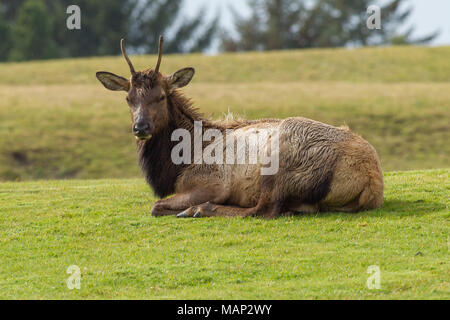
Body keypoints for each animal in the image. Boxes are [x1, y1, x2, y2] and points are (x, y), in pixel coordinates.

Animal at [96, 37, 384, 218]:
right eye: (128, 98)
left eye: (162, 96)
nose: (140, 127)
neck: (178, 164)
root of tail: (373, 181)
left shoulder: (212, 183)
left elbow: (156, 206)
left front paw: (190, 207)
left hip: (280, 161)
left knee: (264, 211)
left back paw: (199, 210)